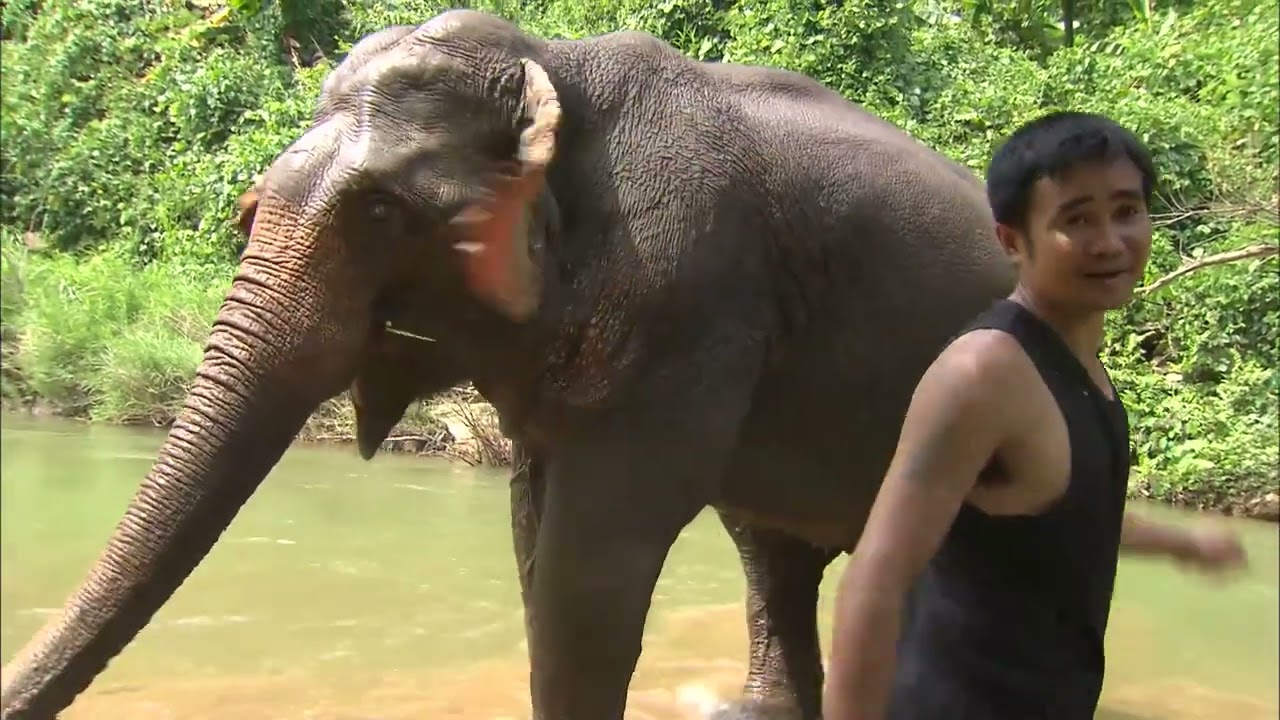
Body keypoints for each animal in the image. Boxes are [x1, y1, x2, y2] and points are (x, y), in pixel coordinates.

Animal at [0, 9, 1016, 720]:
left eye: (380, 215)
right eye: (250, 210)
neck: (553, 62)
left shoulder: (693, 298)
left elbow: (591, 561)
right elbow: (535, 544)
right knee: (776, 553)